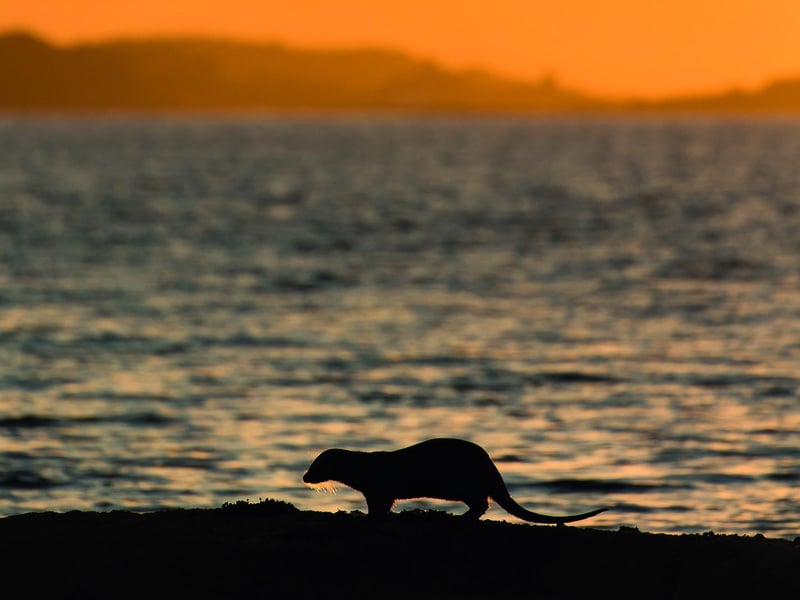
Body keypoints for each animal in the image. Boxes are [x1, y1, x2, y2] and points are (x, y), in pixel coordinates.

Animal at [303, 438, 607, 524]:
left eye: (315, 465)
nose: (305, 477)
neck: (365, 467)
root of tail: (492, 470)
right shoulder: (375, 491)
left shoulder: (379, 489)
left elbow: (379, 507)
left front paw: (369, 517)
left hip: (466, 486)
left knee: (482, 504)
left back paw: (460, 517)